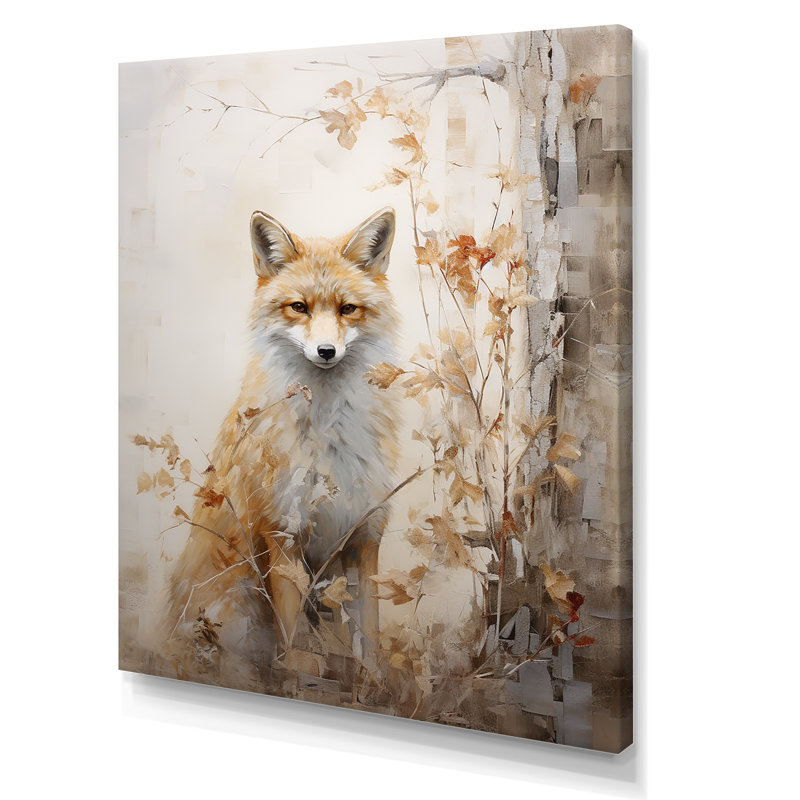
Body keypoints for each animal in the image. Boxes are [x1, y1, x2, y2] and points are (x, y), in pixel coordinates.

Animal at [167, 207, 400, 680]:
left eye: (348, 309)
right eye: (299, 307)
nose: (326, 351)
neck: (330, 436)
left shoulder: (365, 532)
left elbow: (368, 624)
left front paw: (372, 678)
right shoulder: (282, 528)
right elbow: (293, 623)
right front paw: (298, 670)